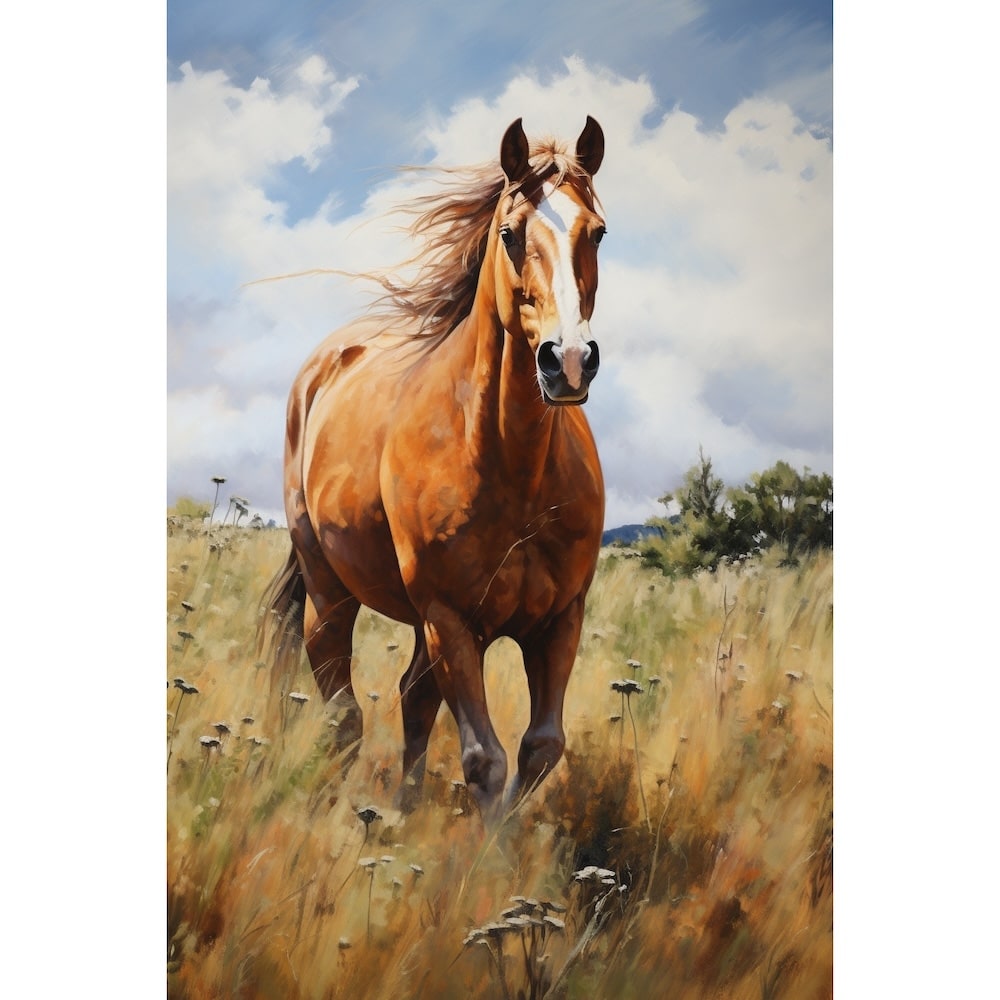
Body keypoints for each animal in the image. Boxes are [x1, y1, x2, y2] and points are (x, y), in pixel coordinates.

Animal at [259, 117, 607, 823]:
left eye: (599, 232)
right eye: (509, 232)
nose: (569, 362)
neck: (516, 471)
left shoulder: (560, 621)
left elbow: (540, 748)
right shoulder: (451, 620)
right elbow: (485, 760)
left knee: (412, 699)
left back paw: (405, 806)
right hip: (332, 594)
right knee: (342, 712)